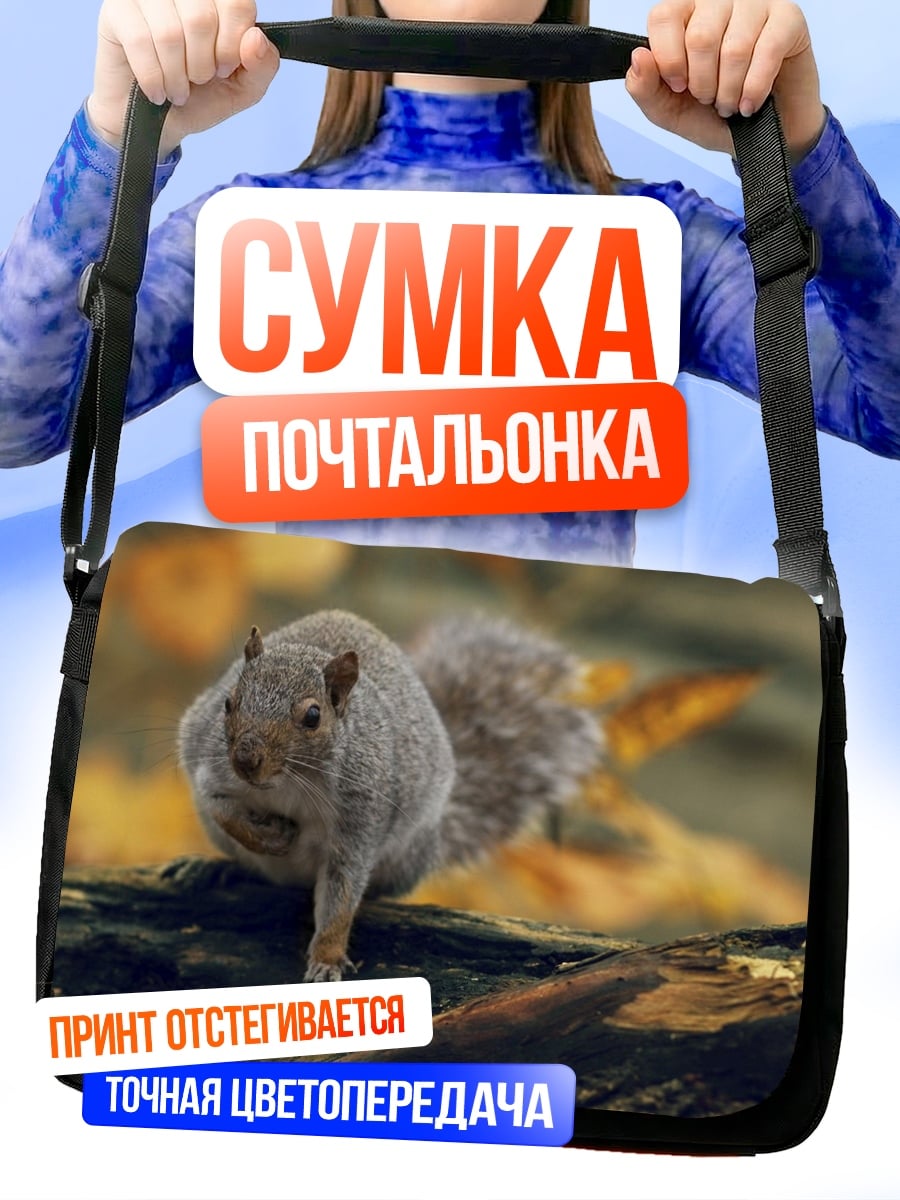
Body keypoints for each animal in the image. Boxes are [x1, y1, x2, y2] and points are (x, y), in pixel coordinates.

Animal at [178, 609, 602, 983]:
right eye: (228, 701)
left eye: (313, 716)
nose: (246, 760)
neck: (288, 782)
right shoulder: (212, 767)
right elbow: (221, 808)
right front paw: (270, 835)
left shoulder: (361, 812)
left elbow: (341, 895)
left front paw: (327, 960)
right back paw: (210, 868)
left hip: (405, 855)